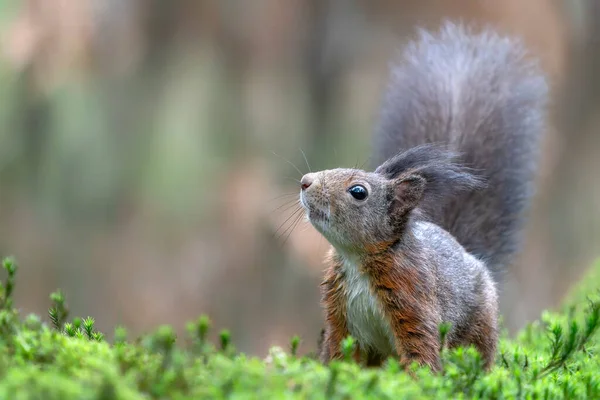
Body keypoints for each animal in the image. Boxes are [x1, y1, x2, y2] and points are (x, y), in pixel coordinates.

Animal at [298, 21, 548, 372]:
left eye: (358, 191)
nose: (305, 182)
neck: (356, 260)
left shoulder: (414, 303)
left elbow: (421, 353)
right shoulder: (340, 319)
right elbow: (339, 355)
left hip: (480, 325)